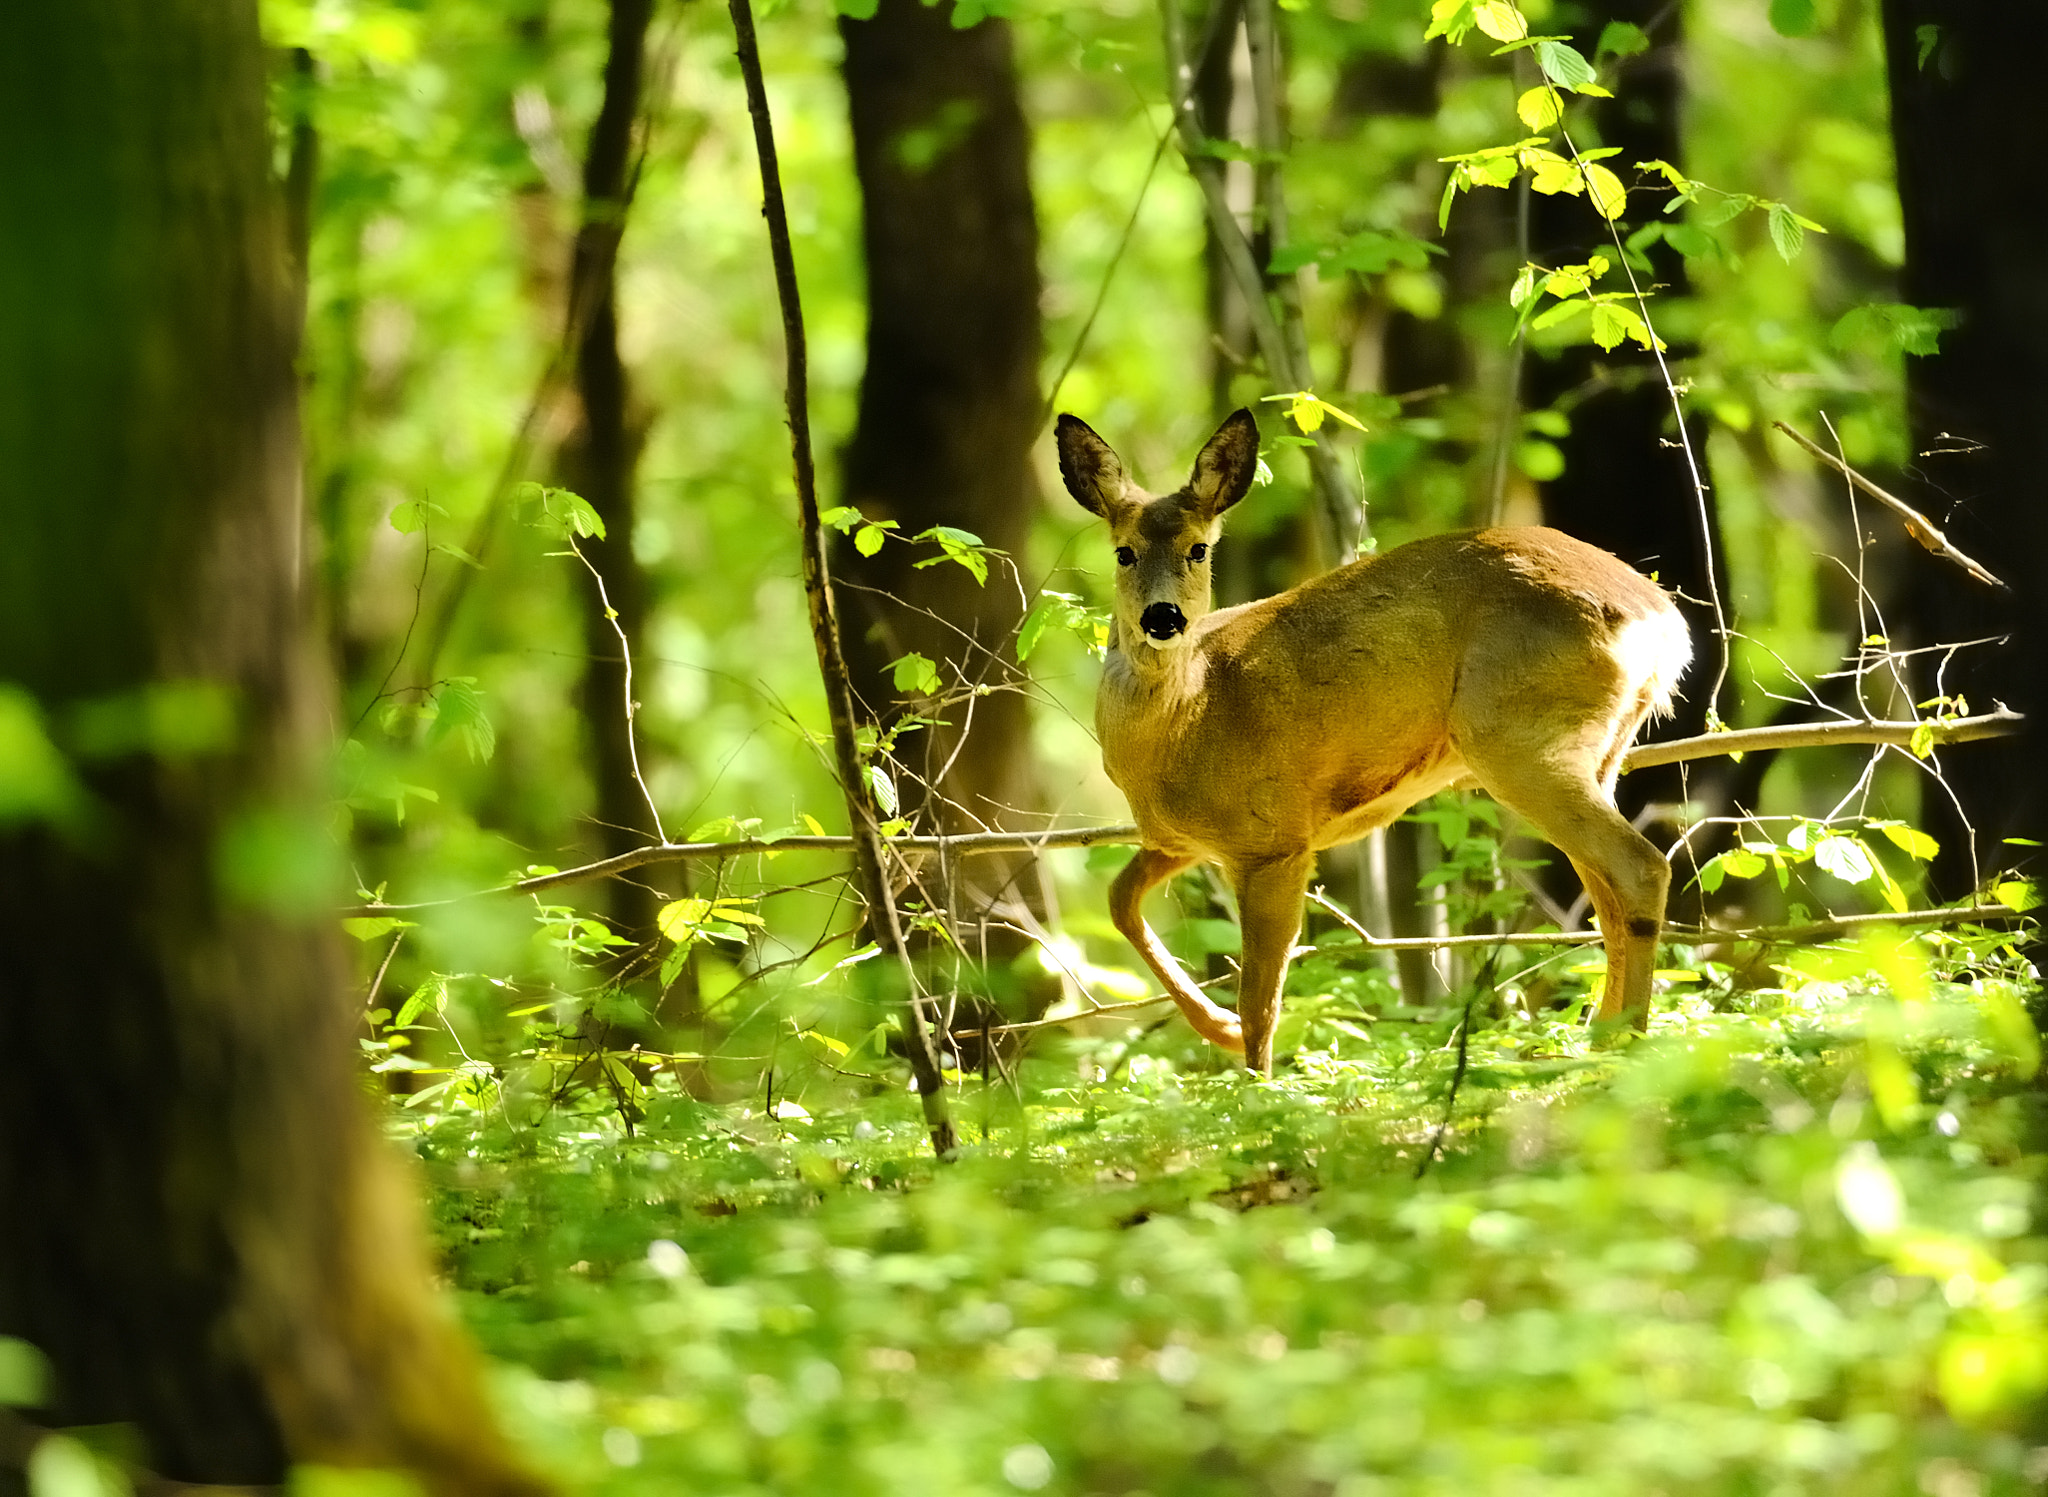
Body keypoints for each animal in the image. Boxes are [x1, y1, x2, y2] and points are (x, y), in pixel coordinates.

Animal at [1056, 407, 1692, 1074]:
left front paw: (1255, 1080)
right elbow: (1119, 898)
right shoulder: (1183, 839)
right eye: (1123, 552)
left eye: (1198, 550)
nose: (1163, 618)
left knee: (1639, 867)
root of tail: (1661, 617)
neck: (1189, 716)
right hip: (1599, 750)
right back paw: (1599, 1039)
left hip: (1518, 740)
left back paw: (1628, 1043)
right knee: (1608, 893)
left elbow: (1262, 996)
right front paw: (1218, 1029)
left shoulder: (1274, 838)